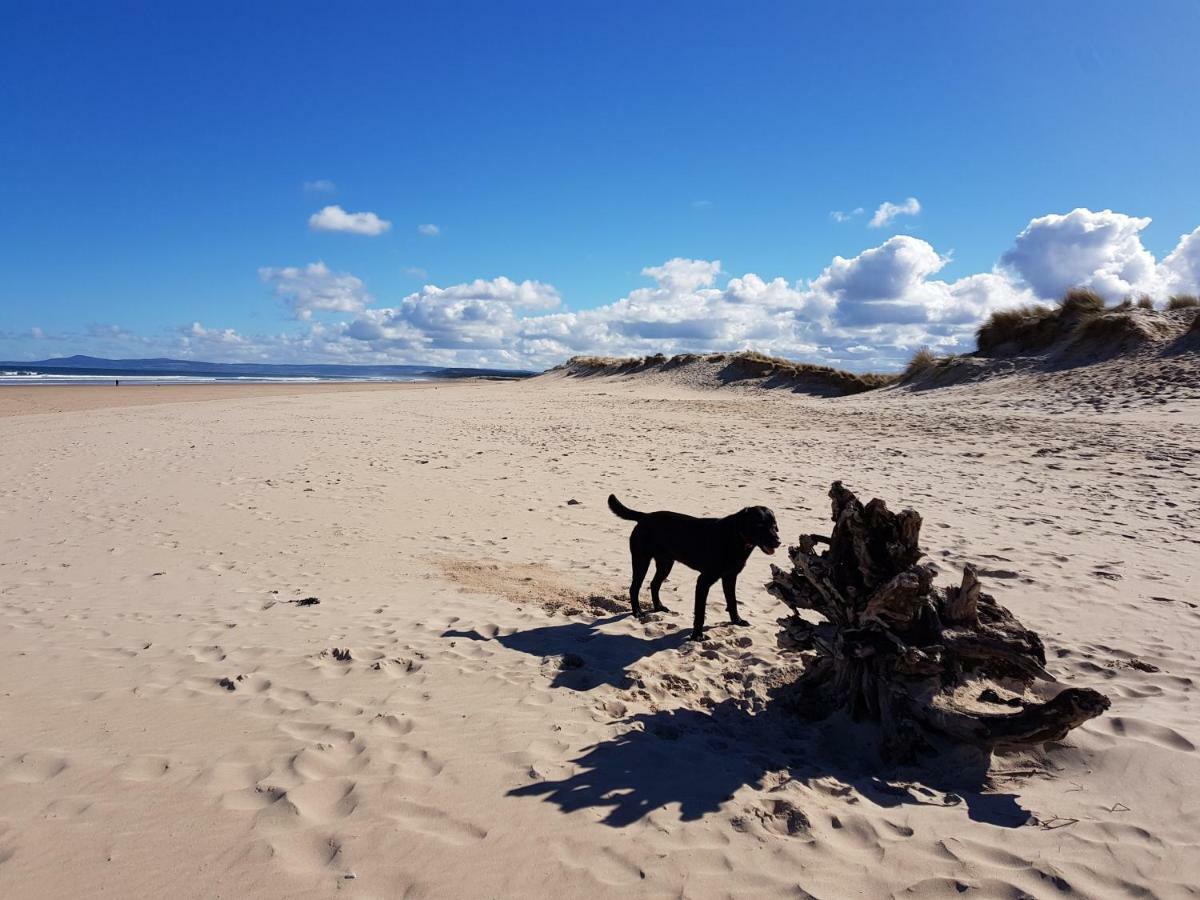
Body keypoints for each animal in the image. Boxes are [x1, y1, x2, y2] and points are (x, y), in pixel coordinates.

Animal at [604, 494, 782, 643]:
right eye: (760, 525)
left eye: (774, 525)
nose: (778, 541)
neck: (736, 537)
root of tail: (645, 516)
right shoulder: (703, 581)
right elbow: (700, 612)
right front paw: (697, 635)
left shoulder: (730, 577)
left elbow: (732, 602)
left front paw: (736, 621)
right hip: (641, 561)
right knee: (634, 587)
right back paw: (637, 612)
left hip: (665, 563)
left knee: (654, 584)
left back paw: (659, 607)